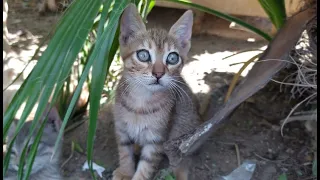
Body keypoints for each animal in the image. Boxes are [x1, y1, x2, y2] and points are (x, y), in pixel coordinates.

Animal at [112, 3, 200, 180]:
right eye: (143, 55)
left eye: (172, 58)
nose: (158, 74)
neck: (141, 101)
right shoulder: (121, 129)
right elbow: (124, 153)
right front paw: (125, 172)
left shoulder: (156, 140)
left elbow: (146, 167)